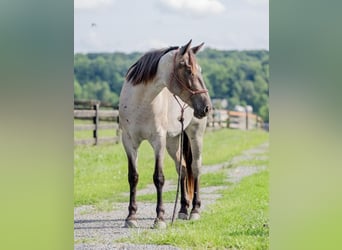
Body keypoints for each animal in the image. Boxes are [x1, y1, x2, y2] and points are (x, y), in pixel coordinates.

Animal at [119, 39, 212, 229]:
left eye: (200, 70)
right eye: (189, 71)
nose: (207, 107)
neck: (140, 102)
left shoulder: (158, 141)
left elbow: (159, 178)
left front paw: (159, 218)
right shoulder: (129, 142)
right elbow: (133, 177)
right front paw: (131, 217)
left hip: (195, 136)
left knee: (195, 168)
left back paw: (195, 210)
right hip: (173, 142)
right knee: (182, 169)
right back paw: (182, 210)